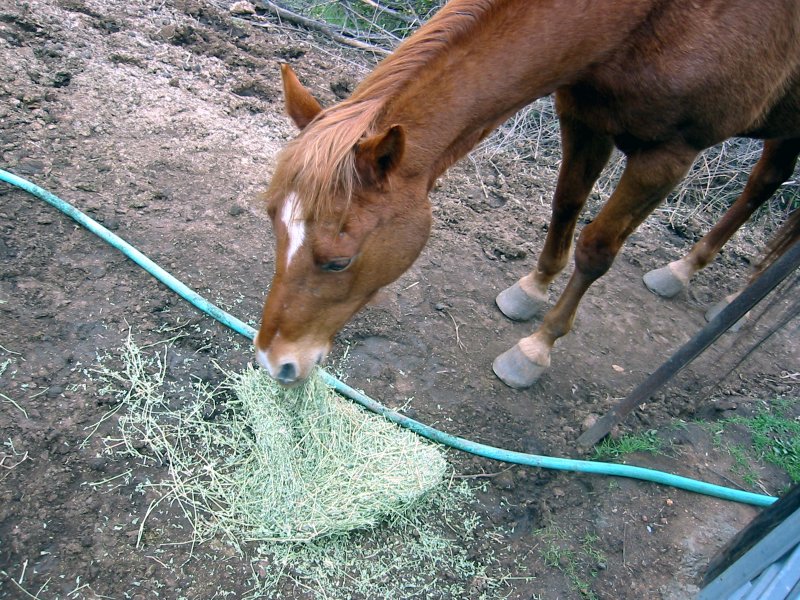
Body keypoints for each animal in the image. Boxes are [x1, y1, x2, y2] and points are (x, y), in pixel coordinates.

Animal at [252, 0, 800, 386]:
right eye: (273, 224)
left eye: (338, 262)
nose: (274, 362)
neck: (646, 18)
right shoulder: (583, 115)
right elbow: (566, 203)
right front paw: (533, 288)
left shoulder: (668, 154)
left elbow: (597, 249)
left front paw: (536, 349)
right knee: (767, 180)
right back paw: (689, 269)